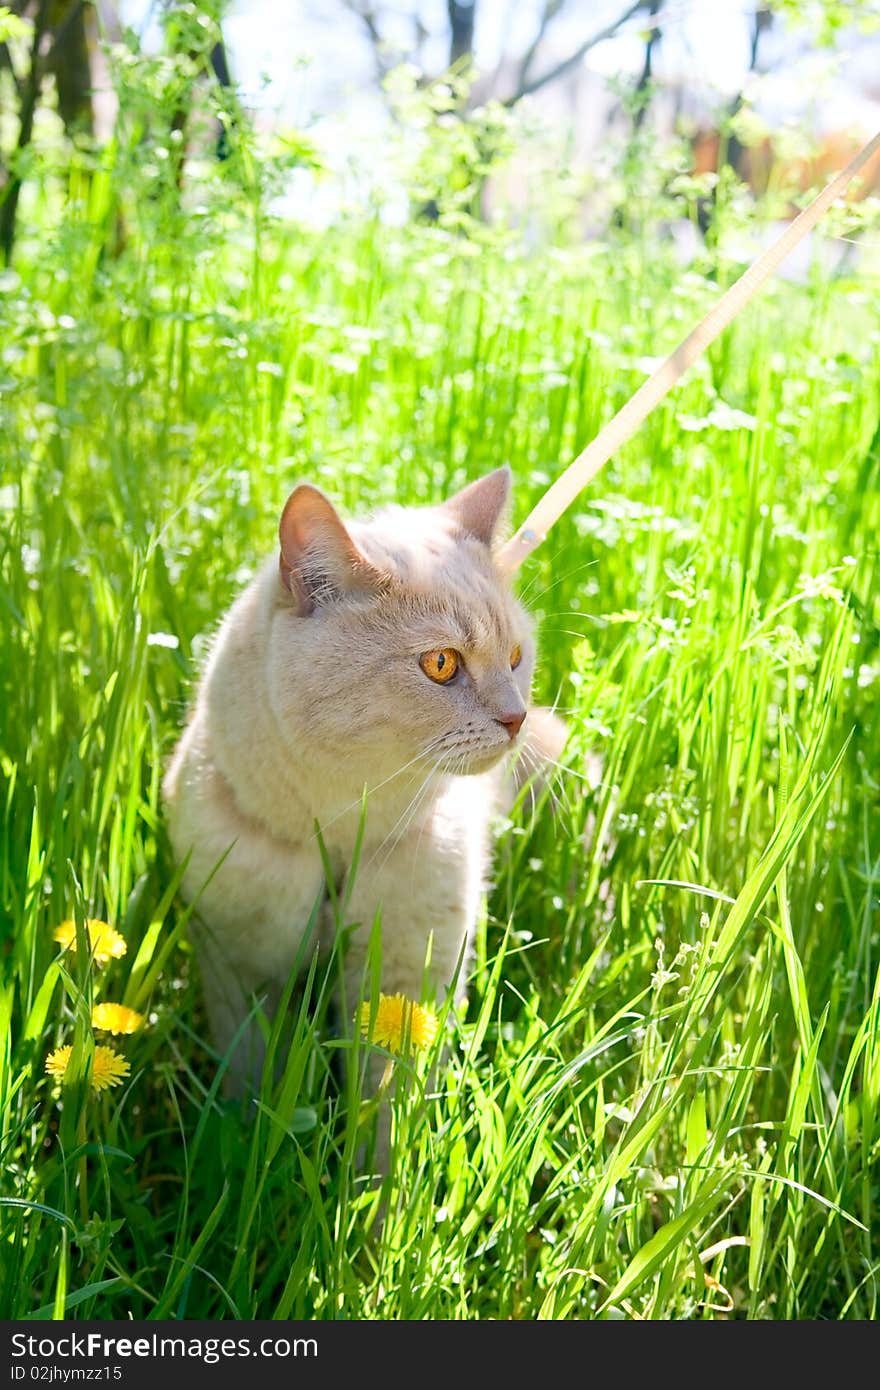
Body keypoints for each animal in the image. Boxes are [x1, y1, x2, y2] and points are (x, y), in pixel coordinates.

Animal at [163, 467, 561, 1095]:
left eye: (517, 656)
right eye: (441, 664)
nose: (514, 717)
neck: (338, 836)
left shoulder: (407, 978)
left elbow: (386, 1104)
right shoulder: (238, 969)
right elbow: (248, 1086)